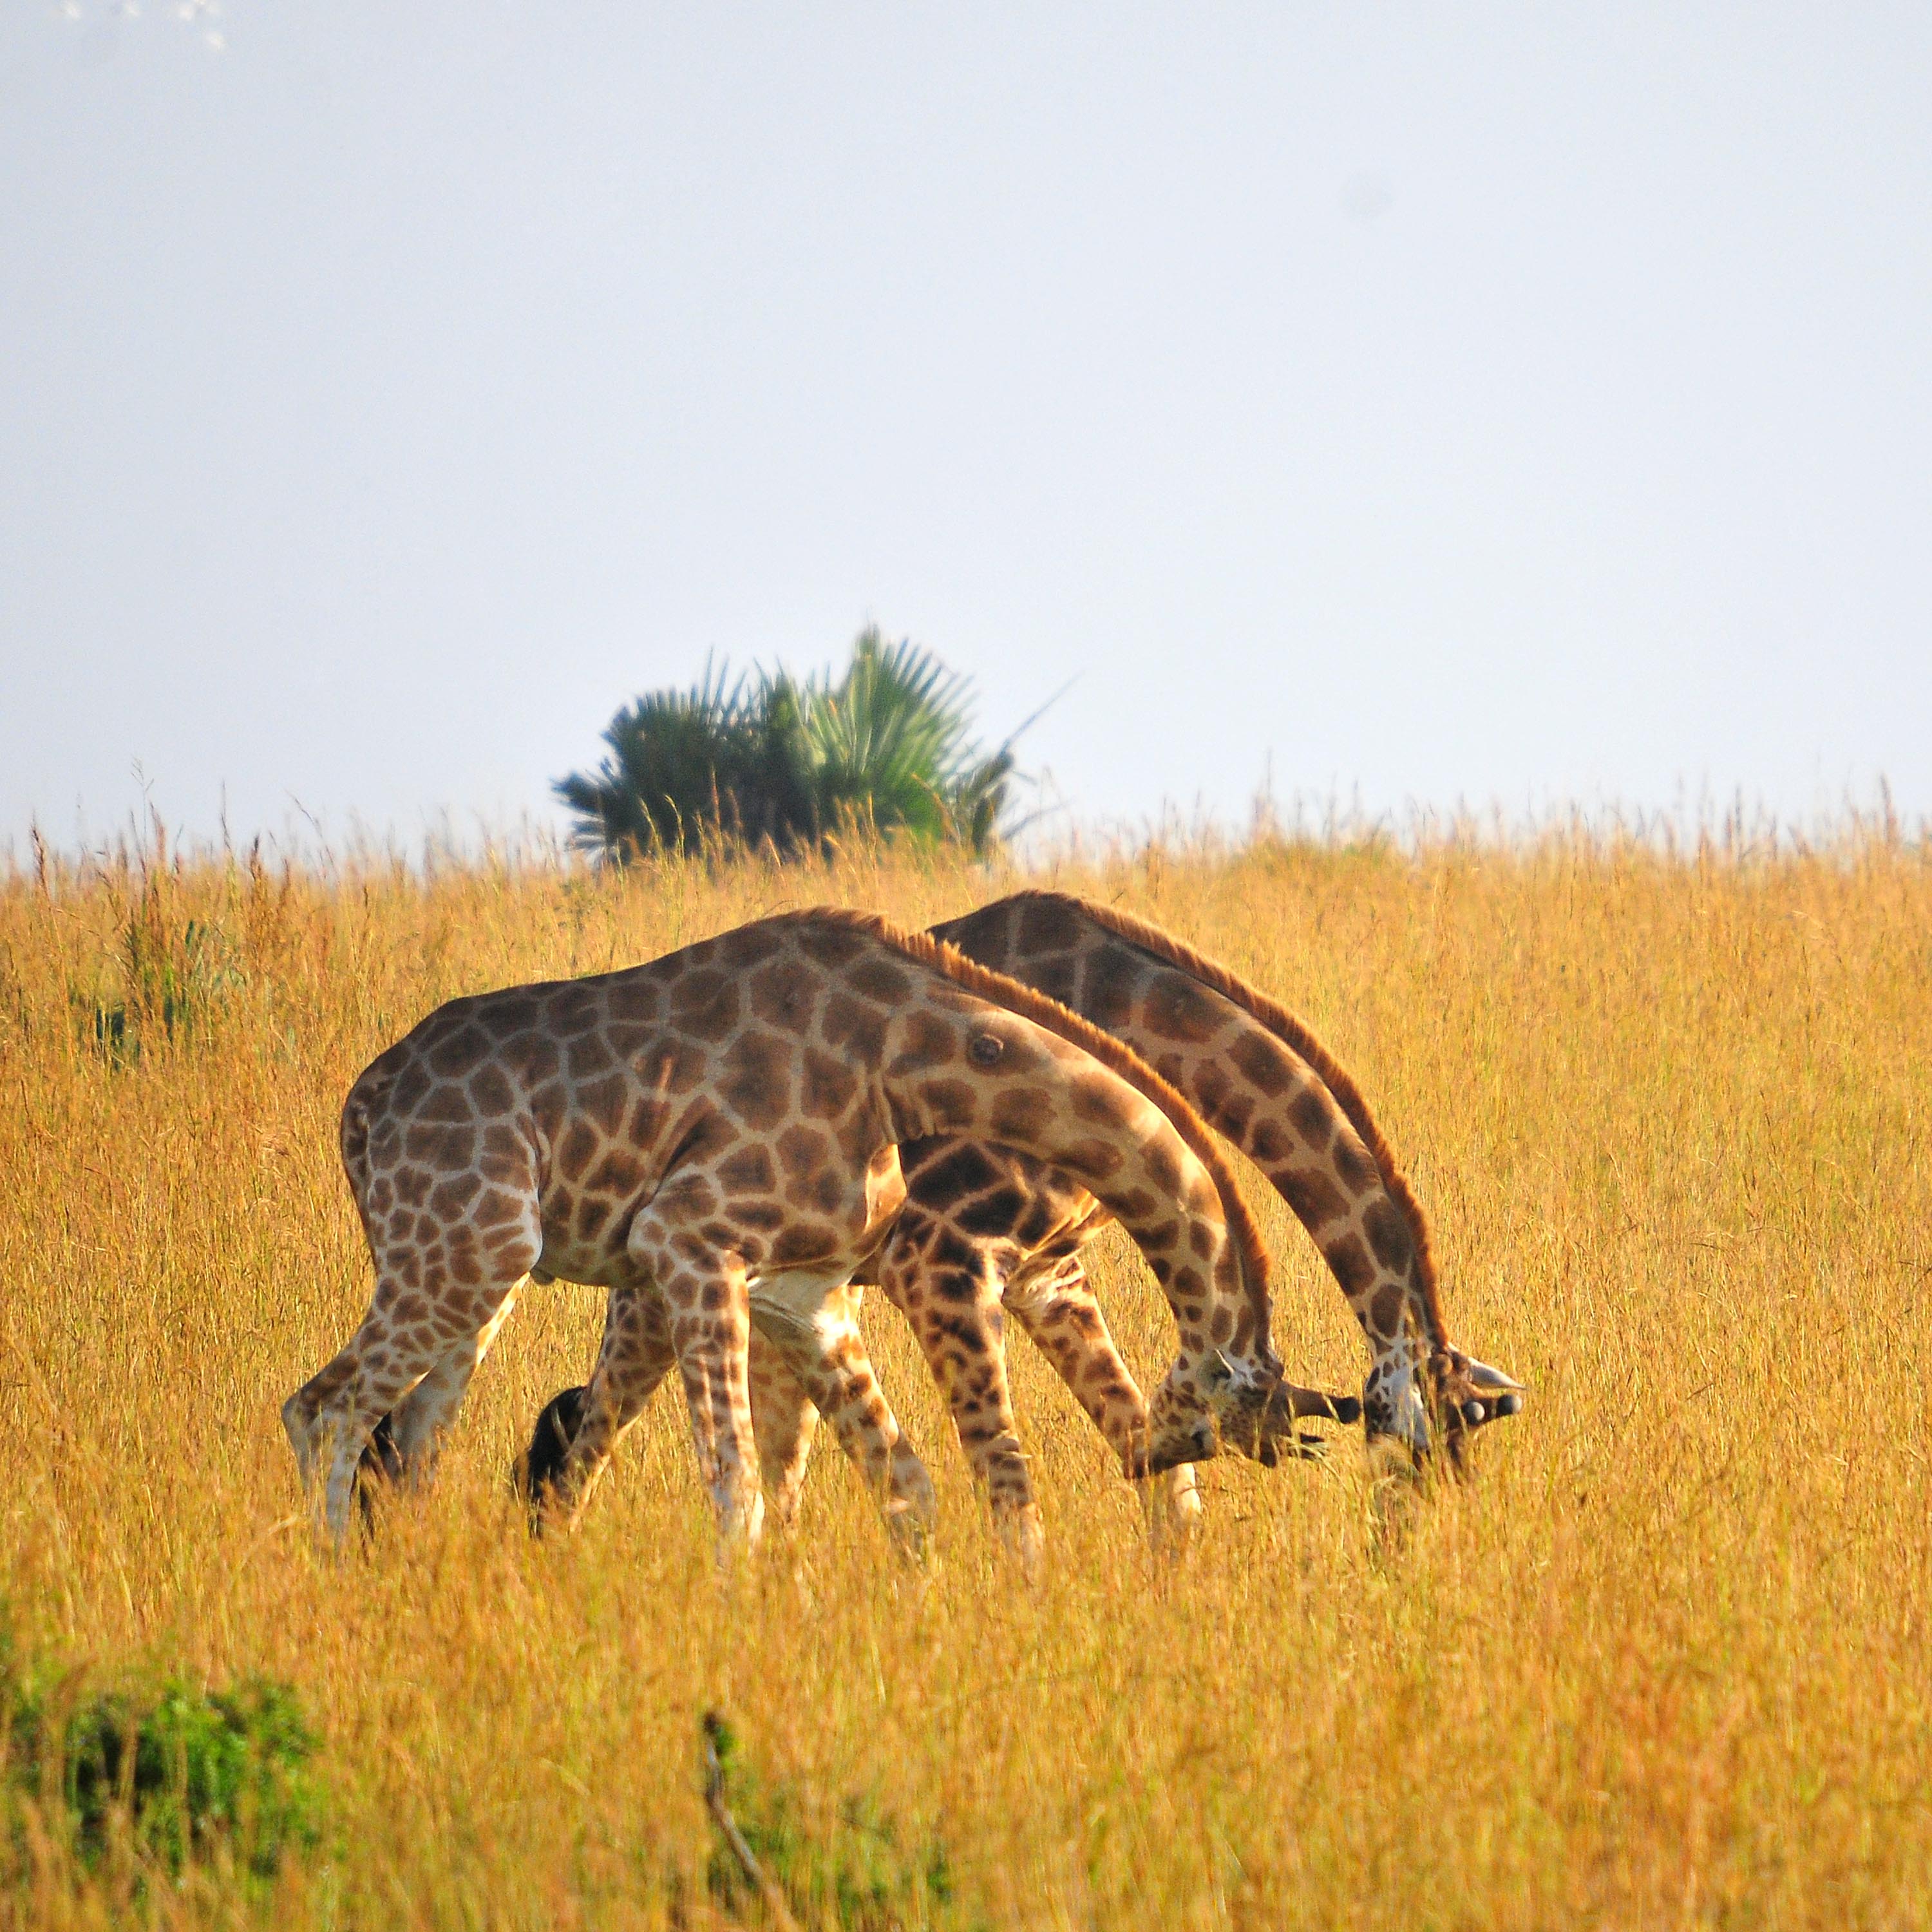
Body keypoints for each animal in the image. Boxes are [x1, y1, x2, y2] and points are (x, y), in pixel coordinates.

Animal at [286, 906, 1351, 1549]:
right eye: (1218, 1421)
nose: (1149, 1455)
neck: (904, 1054)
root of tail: (361, 1105)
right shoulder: (700, 1243)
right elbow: (749, 1493)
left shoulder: (808, 1292)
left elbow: (894, 1485)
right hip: (475, 1253)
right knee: (328, 1410)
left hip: (477, 1275)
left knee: (414, 1440)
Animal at [522, 892, 1520, 1560]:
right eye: (1410, 1461)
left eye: (1463, 1463)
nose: (1400, 1564)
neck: (1127, 1017)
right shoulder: (943, 1262)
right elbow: (1009, 1483)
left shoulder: (1051, 1274)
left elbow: (1164, 1486)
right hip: (675, 1290)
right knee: (585, 1439)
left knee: (760, 1455)